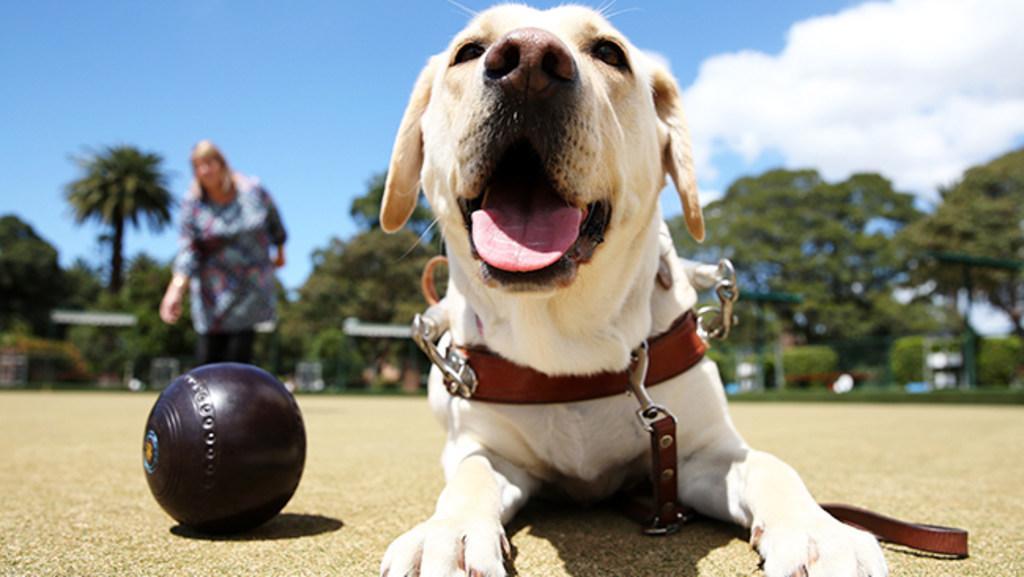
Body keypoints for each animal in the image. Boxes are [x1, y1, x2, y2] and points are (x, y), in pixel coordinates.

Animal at [380, 4, 884, 577]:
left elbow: (771, 466)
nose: (528, 61)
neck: (567, 342)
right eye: (467, 51)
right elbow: (471, 475)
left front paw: (819, 532)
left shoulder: (700, 452)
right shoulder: (485, 449)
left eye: (609, 52)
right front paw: (447, 535)